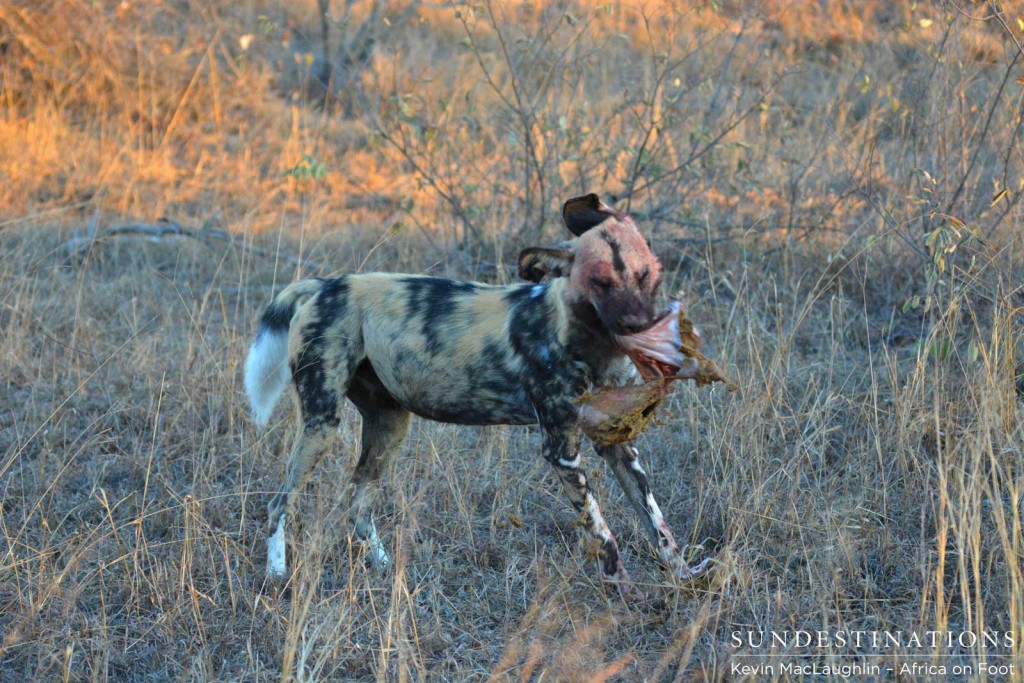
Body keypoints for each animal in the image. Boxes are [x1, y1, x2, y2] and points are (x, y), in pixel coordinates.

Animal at [243, 193, 708, 598]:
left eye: (645, 275)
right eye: (600, 283)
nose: (638, 325)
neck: (590, 342)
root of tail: (323, 284)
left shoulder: (617, 444)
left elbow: (657, 524)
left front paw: (684, 580)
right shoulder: (562, 453)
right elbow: (603, 533)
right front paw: (625, 593)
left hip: (390, 427)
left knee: (358, 506)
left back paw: (386, 568)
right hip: (322, 425)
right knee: (279, 504)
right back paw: (277, 574)